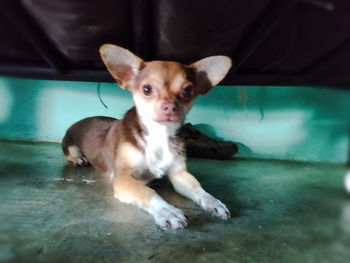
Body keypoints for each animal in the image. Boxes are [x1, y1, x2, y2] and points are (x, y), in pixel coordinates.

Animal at [62, 44, 232, 230]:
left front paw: (213, 202)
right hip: (70, 145)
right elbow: (148, 191)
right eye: (147, 89)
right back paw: (79, 159)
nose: (170, 106)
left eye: (187, 90)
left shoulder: (179, 174)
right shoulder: (122, 178)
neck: (159, 135)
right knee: (72, 154)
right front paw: (167, 211)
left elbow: (198, 188)